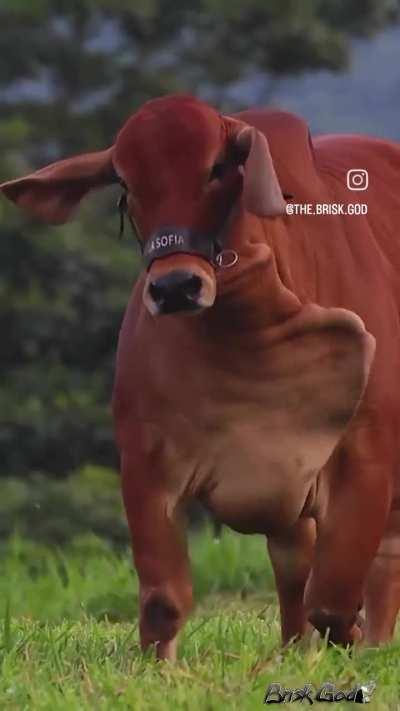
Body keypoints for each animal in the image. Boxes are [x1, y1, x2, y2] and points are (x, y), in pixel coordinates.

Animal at [2, 94, 400, 661]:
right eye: (126, 186)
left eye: (218, 168)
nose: (174, 287)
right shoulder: (146, 464)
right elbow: (164, 599)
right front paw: (159, 668)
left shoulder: (367, 459)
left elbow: (335, 601)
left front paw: (357, 647)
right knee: (294, 568)